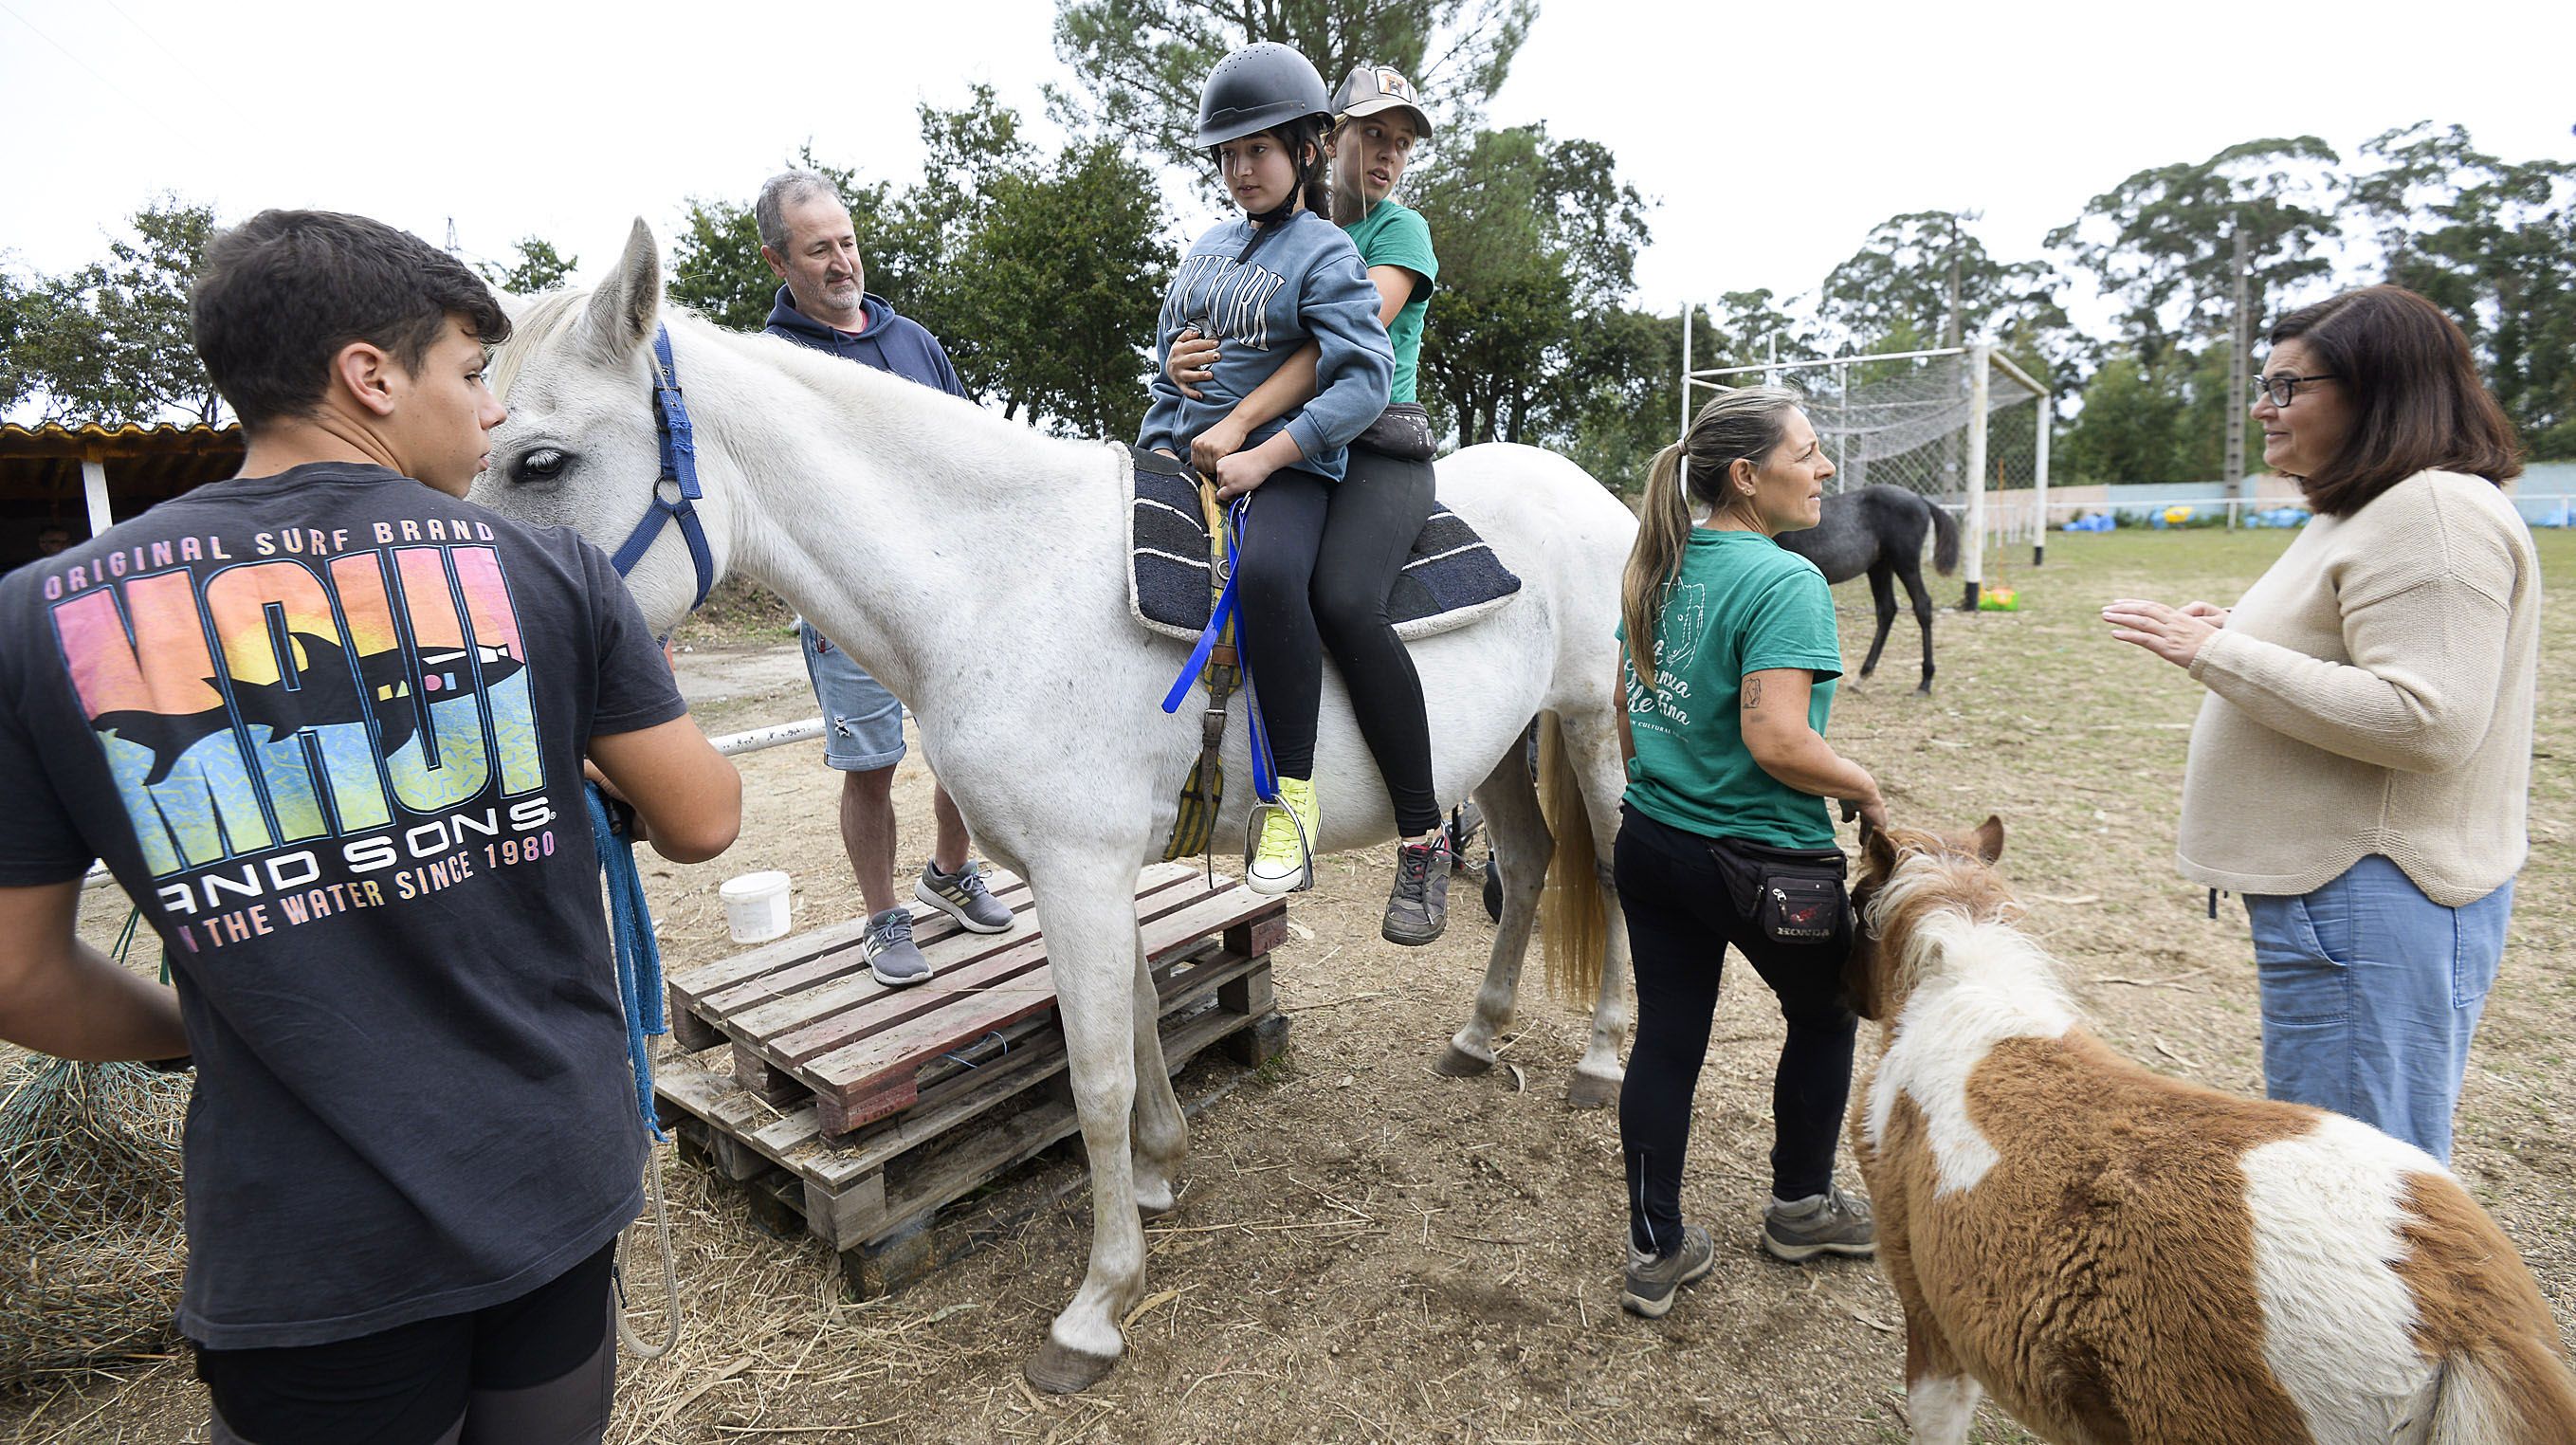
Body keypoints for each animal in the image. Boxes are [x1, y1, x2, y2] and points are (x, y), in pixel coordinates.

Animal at [476, 222, 1638, 1390]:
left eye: (540, 461)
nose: (475, 659)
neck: (996, 580)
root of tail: (1593, 494)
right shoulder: (1081, 872)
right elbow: (1139, 1023)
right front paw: (1162, 1171)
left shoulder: (1080, 870)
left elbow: (1096, 1079)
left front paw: (1096, 1306)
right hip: (1497, 746)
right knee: (1527, 865)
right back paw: (1478, 1037)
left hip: (1587, 722)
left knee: (1614, 874)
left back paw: (1599, 1059)